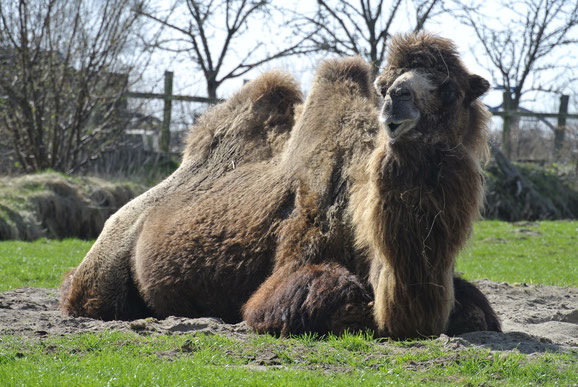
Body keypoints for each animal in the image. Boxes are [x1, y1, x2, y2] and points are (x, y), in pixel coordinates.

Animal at [60, 33, 498, 338]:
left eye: (451, 90)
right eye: (384, 84)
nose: (397, 98)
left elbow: (480, 312)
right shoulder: (294, 260)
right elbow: (334, 302)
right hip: (103, 271)